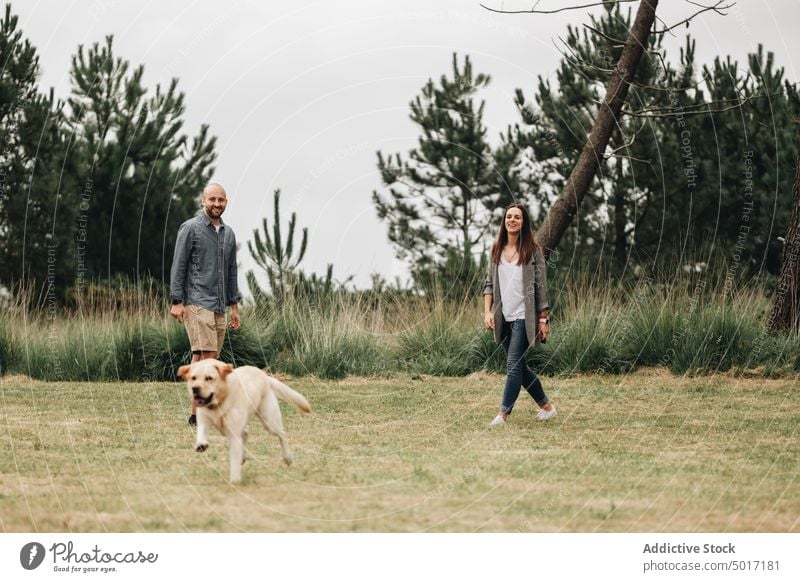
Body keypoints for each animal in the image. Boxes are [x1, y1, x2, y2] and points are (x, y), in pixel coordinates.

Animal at [177, 360, 310, 484]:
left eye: (209, 378)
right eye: (193, 378)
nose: (195, 389)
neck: (218, 403)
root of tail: (263, 374)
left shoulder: (233, 434)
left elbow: (234, 458)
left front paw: (235, 480)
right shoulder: (204, 421)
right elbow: (201, 433)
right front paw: (201, 445)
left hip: (269, 421)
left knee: (282, 434)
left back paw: (288, 457)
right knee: (246, 433)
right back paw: (243, 456)